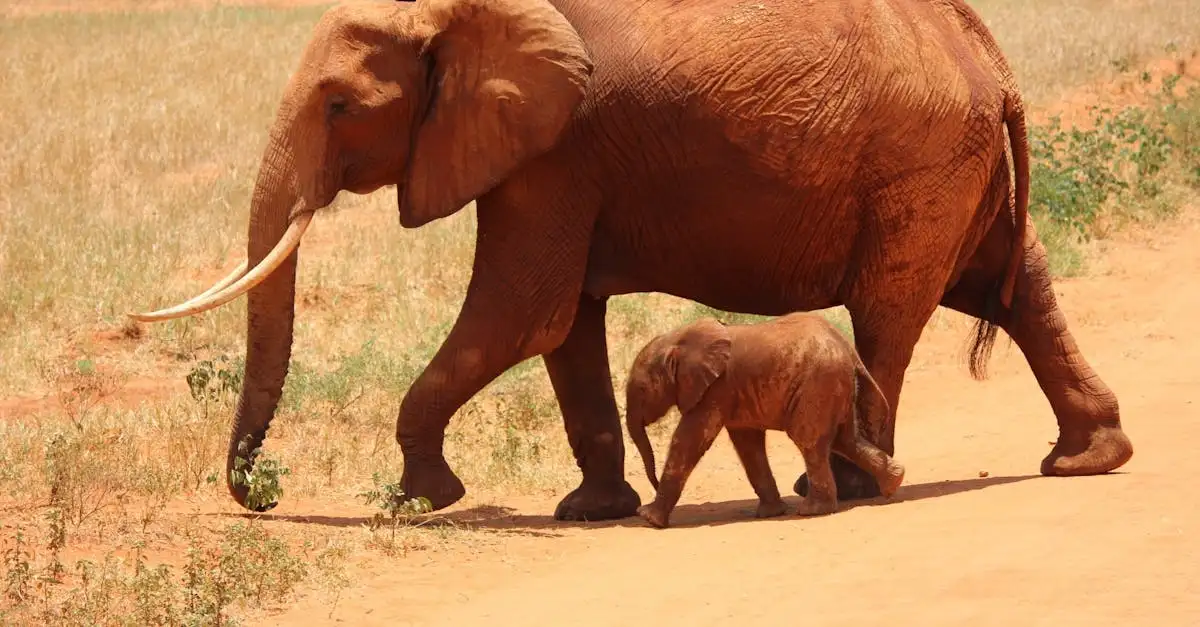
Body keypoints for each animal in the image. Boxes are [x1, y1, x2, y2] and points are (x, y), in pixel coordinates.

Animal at [625, 314, 905, 529]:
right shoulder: (732, 394)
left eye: (642, 390)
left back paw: (813, 510)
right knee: (845, 440)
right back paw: (894, 483)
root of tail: (849, 350)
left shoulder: (716, 389)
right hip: (835, 387)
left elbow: (689, 440)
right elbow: (748, 445)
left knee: (810, 441)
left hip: (818, 386)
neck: (678, 339)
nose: (653, 483)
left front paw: (649, 518)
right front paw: (771, 513)